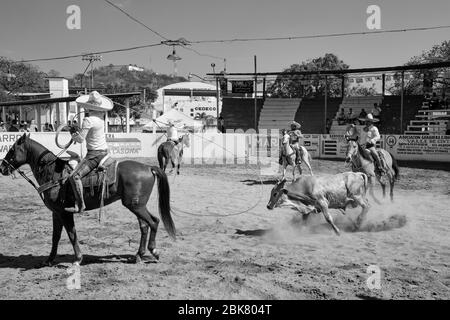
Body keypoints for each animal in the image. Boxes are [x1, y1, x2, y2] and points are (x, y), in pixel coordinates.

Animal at [0, 134, 176, 266]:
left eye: (12, 150)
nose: (2, 167)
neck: (53, 174)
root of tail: (149, 167)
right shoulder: (56, 213)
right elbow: (55, 237)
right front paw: (49, 260)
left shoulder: (65, 213)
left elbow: (72, 235)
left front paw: (78, 259)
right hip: (137, 205)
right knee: (145, 226)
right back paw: (139, 255)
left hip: (135, 205)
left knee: (153, 222)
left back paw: (154, 252)